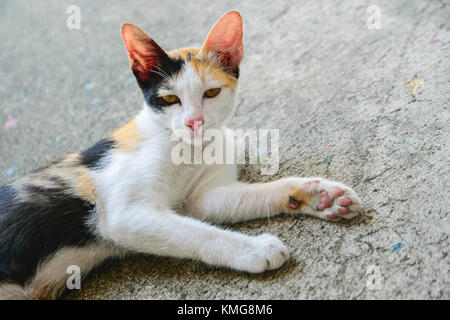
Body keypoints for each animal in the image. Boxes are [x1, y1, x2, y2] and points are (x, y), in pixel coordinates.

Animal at [0, 10, 360, 300]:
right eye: (170, 99)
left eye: (211, 92)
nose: (194, 121)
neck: (187, 149)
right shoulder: (124, 214)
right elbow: (196, 233)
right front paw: (256, 249)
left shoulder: (200, 200)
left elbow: (241, 198)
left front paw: (320, 195)